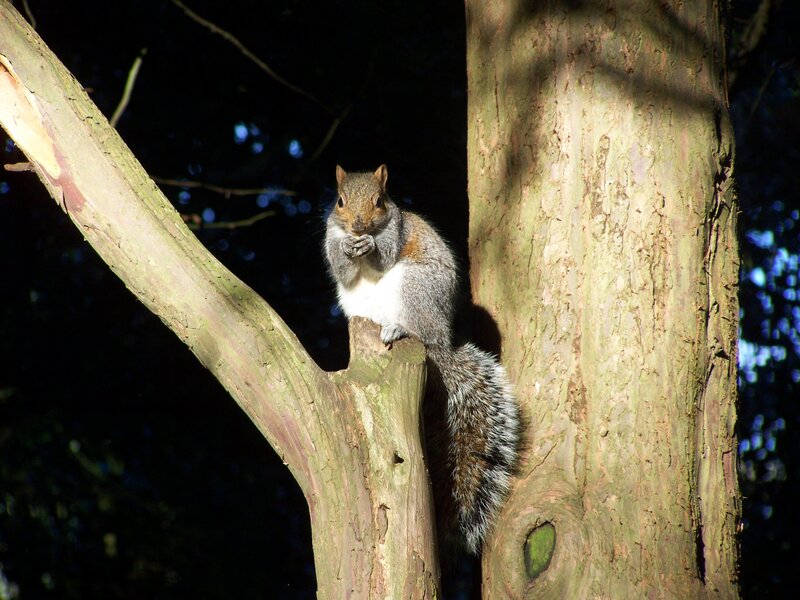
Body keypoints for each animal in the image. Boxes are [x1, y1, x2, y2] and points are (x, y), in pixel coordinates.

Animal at [324, 164, 520, 554]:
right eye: (339, 201)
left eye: (380, 202)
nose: (358, 226)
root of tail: (443, 343)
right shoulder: (331, 234)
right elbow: (340, 265)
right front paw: (346, 248)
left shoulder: (396, 233)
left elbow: (384, 253)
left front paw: (370, 246)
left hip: (416, 287)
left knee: (421, 333)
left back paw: (399, 329)